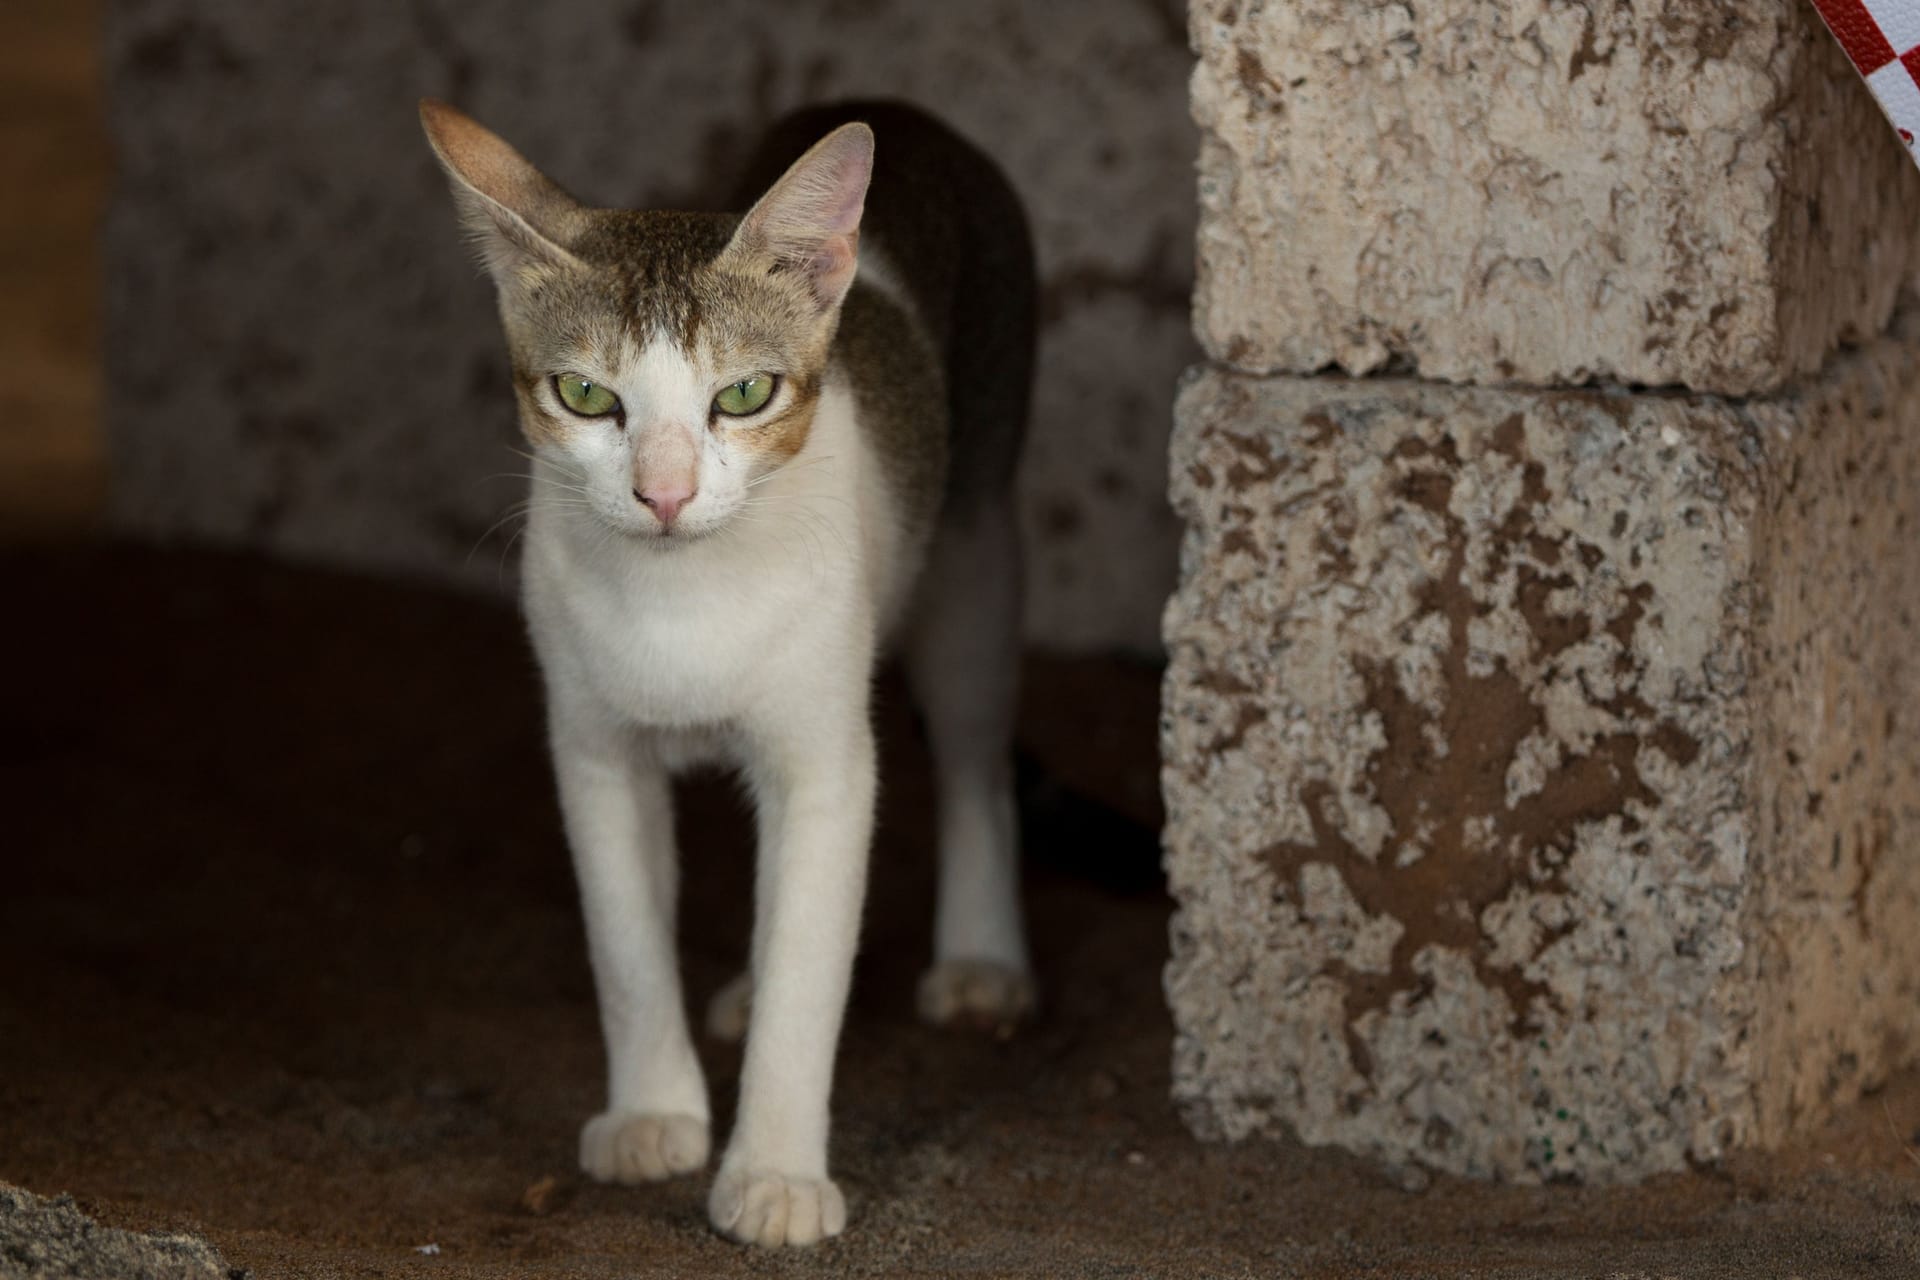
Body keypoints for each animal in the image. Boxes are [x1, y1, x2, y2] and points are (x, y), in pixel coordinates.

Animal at [424, 102, 1036, 1251]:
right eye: (587, 395)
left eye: (744, 394)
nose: (663, 492)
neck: (681, 598)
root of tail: (905, 112)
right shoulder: (593, 748)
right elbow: (626, 944)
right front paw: (654, 1112)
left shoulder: (826, 760)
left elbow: (810, 961)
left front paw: (776, 1173)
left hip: (976, 546)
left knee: (975, 761)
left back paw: (982, 958)